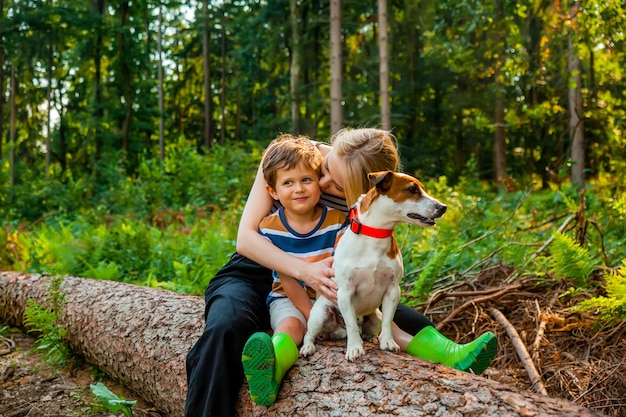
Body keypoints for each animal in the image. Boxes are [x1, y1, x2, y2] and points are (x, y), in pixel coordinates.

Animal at [300, 171, 446, 360]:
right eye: (412, 189)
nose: (443, 207)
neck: (375, 236)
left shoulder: (393, 290)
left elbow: (388, 322)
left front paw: (388, 342)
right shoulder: (345, 293)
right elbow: (351, 326)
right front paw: (354, 348)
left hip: (375, 316)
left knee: (372, 327)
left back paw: (372, 338)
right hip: (320, 314)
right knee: (312, 333)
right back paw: (308, 346)